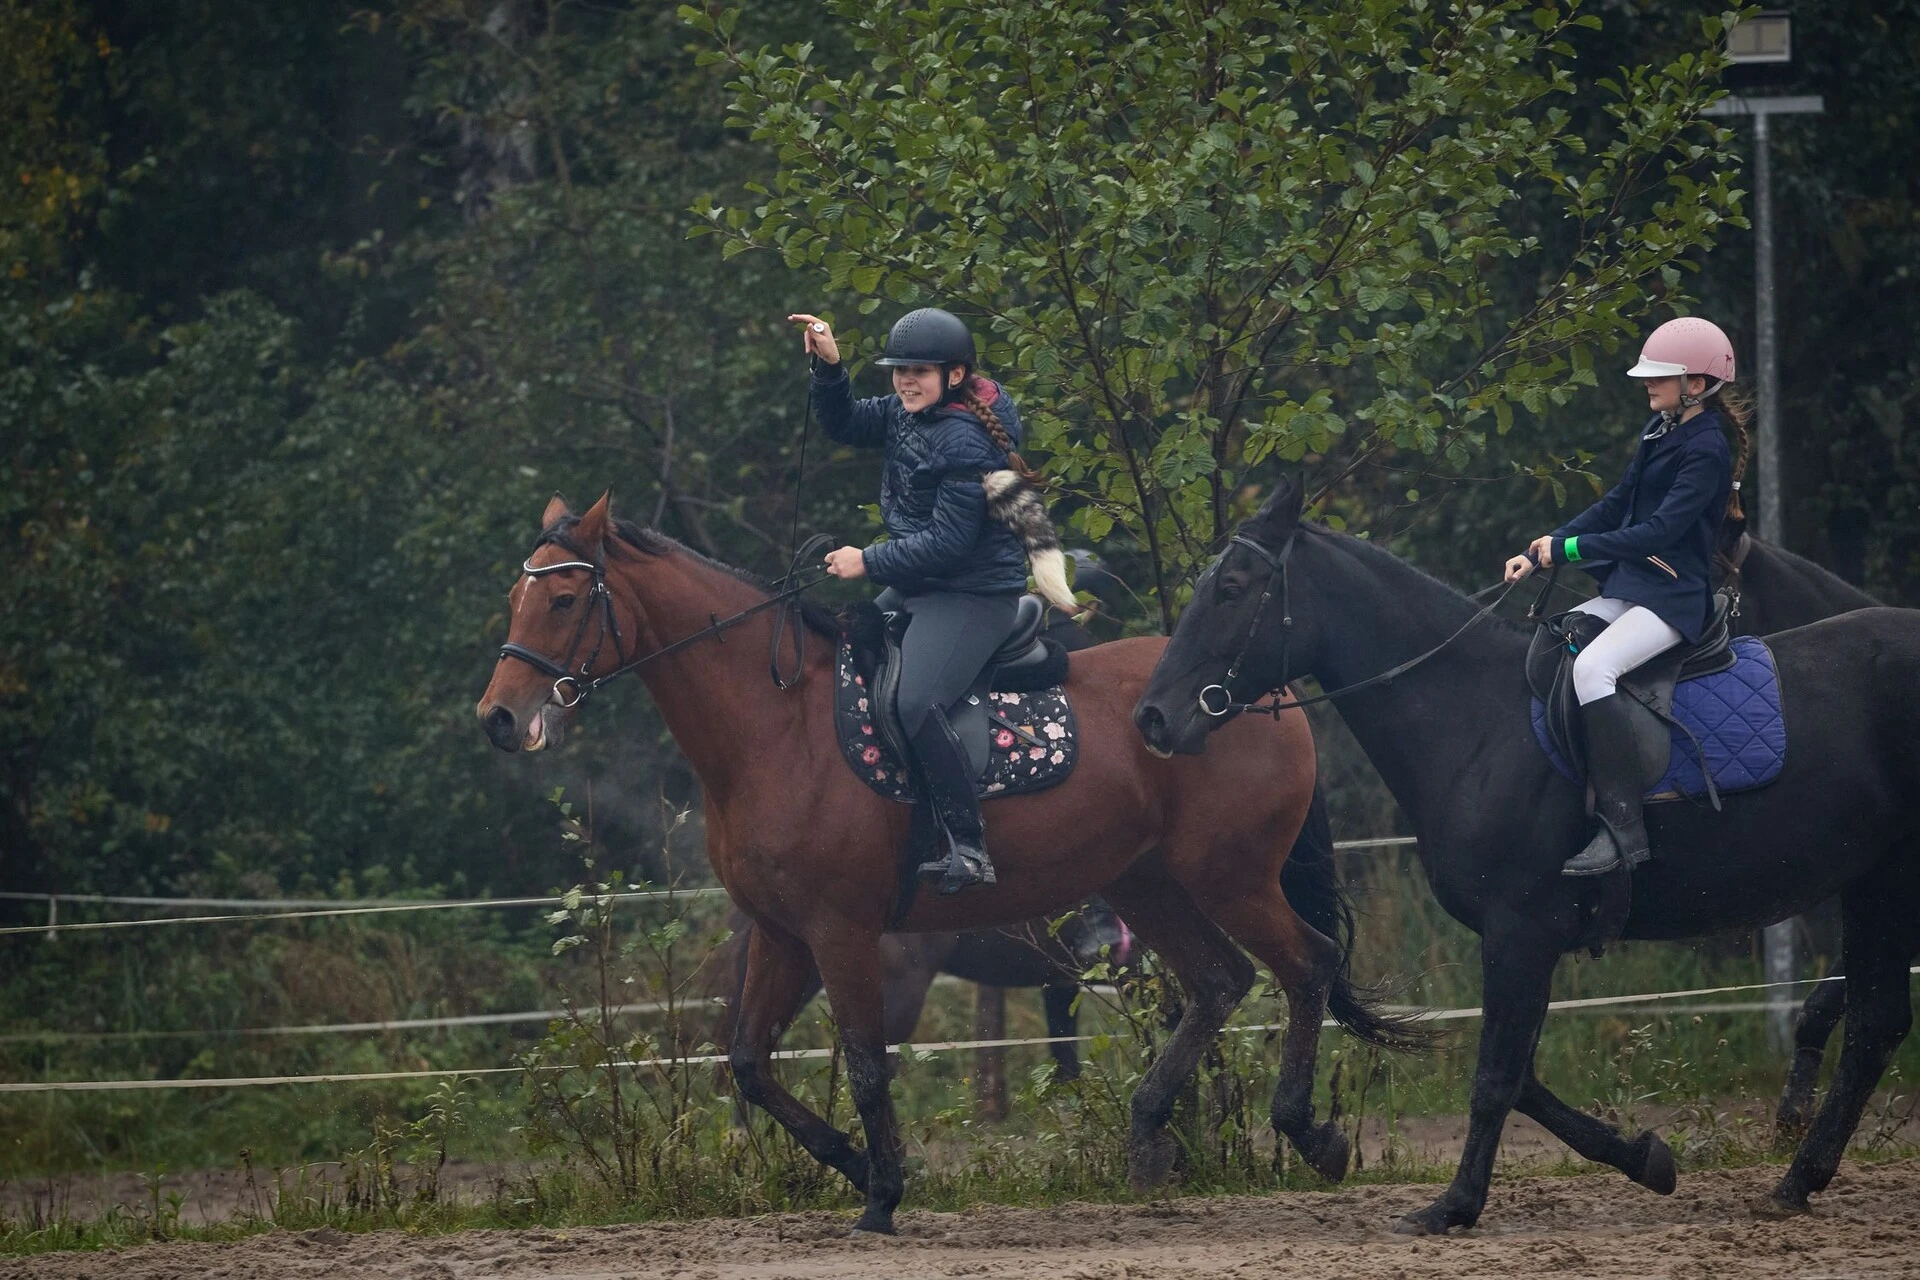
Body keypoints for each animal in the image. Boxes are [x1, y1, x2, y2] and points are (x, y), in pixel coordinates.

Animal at [1128, 479, 1920, 1228]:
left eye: (1233, 589)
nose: (1153, 718)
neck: (1479, 720)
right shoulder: (1524, 940)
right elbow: (1525, 1078)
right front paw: (1644, 1157)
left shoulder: (1520, 931)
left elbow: (1496, 1079)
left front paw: (1453, 1206)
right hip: (1877, 883)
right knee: (1874, 1027)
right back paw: (1796, 1181)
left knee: (1870, 1025)